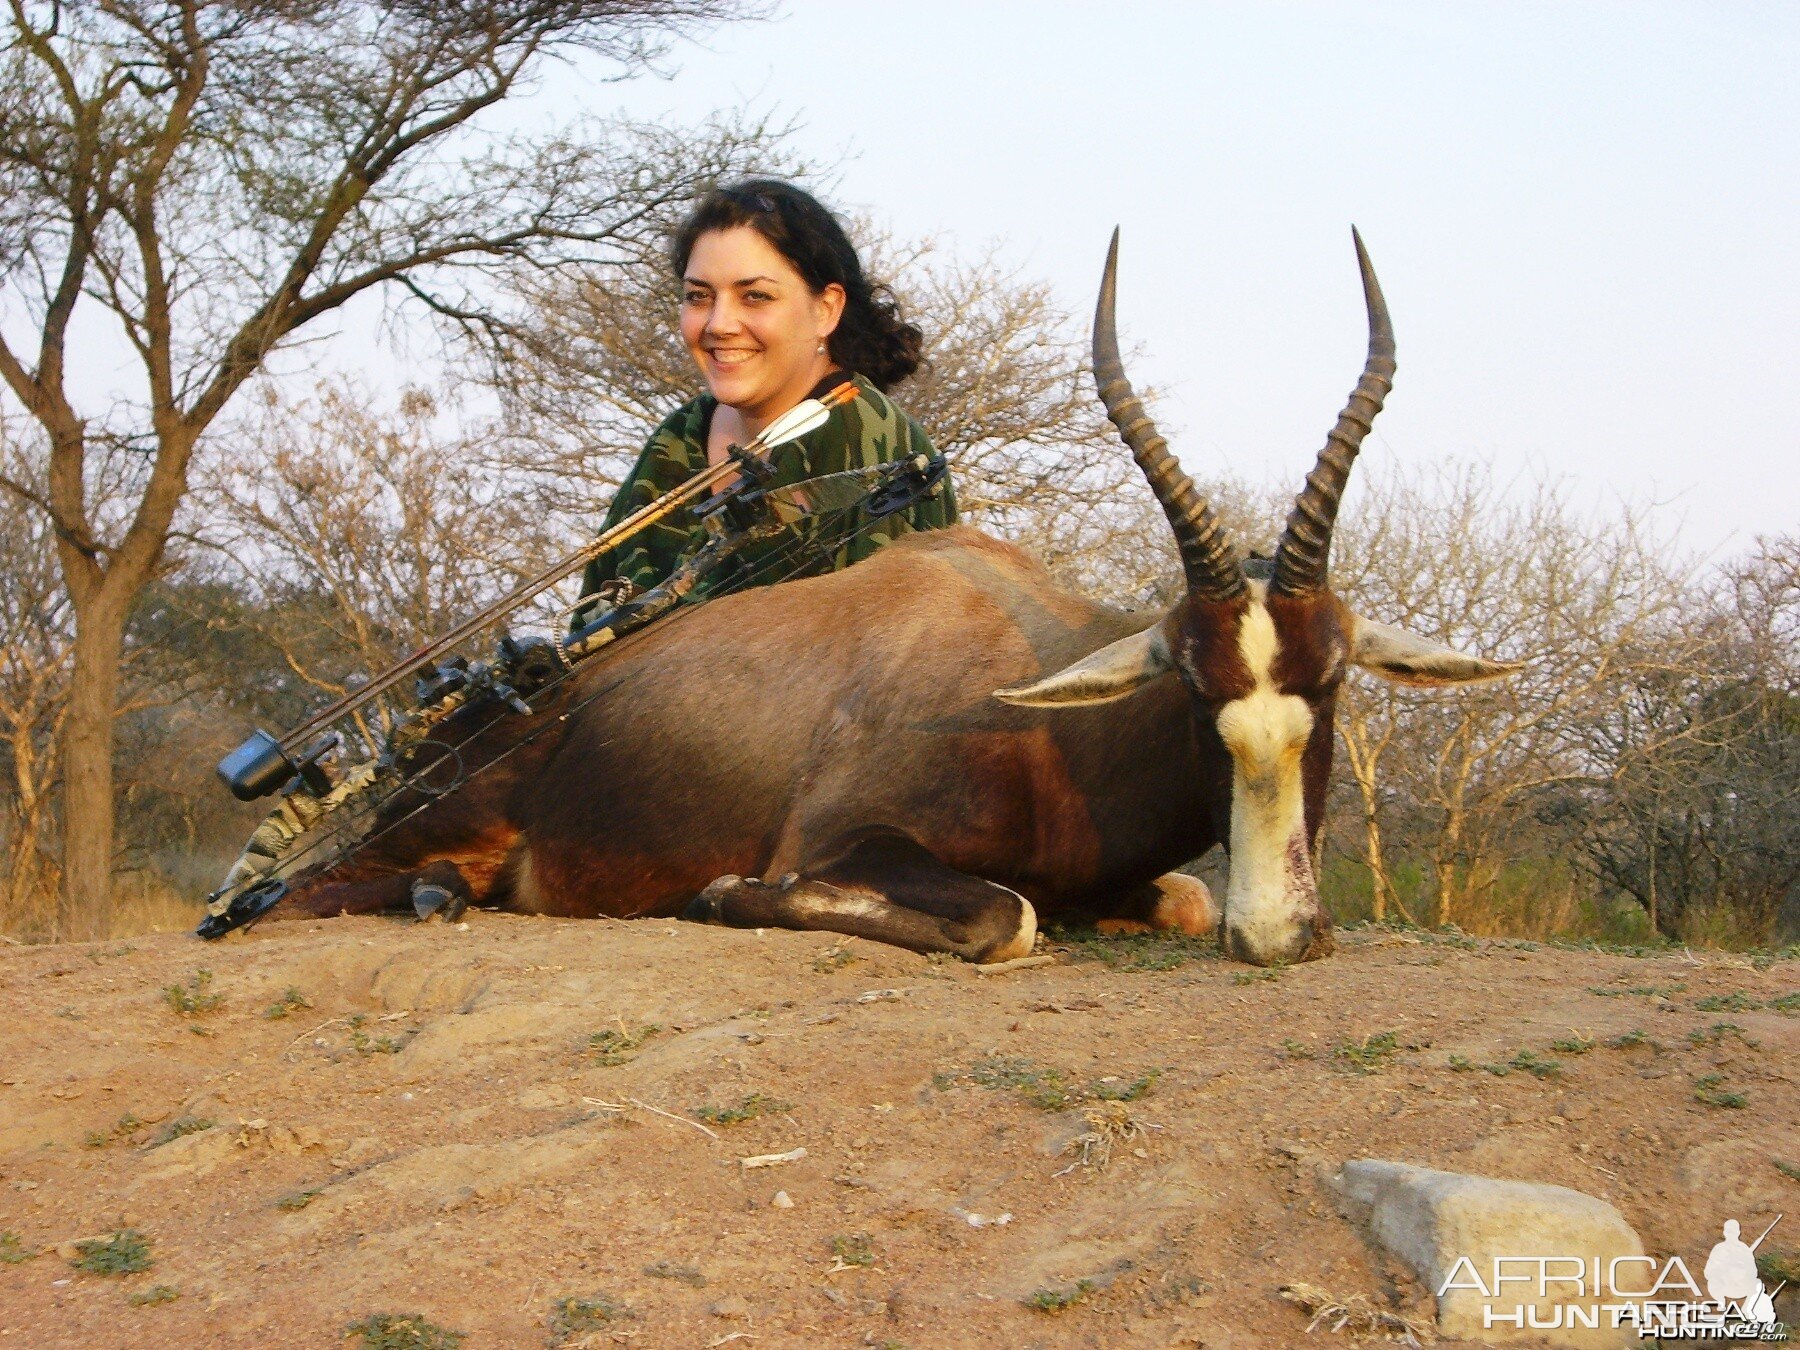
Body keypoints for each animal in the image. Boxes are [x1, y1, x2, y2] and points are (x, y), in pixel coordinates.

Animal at [261, 230, 1512, 964]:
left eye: (1333, 683)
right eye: (1195, 689)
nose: (1279, 933)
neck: (1041, 704)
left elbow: (1167, 900)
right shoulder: (840, 838)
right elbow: (1006, 917)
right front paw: (720, 896)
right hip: (431, 828)